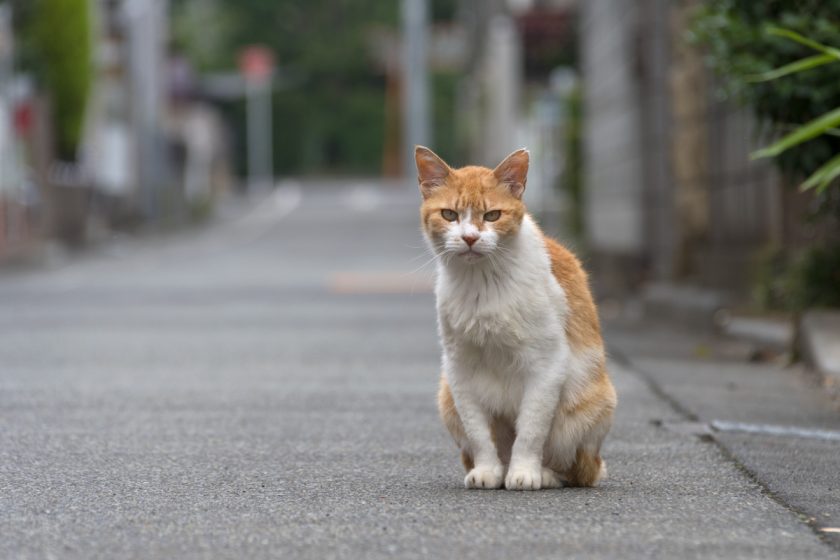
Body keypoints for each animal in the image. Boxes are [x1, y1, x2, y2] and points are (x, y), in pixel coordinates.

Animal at [416, 145, 616, 490]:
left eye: (492, 215)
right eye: (450, 215)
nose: (470, 238)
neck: (482, 283)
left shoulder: (547, 365)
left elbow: (531, 430)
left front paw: (524, 472)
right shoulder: (459, 369)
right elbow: (479, 433)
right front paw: (486, 471)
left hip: (588, 406)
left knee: (577, 470)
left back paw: (544, 474)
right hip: (446, 398)